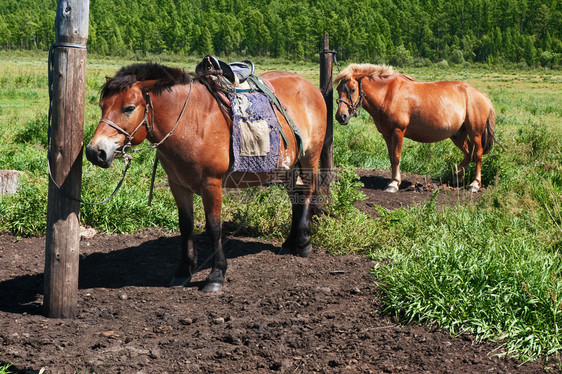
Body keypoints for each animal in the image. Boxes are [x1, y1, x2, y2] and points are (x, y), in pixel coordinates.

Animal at [85, 62, 326, 292]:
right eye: (102, 106)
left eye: (129, 108)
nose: (95, 152)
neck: (191, 122)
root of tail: (310, 87)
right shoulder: (178, 185)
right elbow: (186, 226)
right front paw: (183, 271)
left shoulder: (212, 184)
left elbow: (214, 228)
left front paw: (216, 275)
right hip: (288, 165)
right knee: (295, 197)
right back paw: (289, 243)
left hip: (309, 158)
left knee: (306, 193)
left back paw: (303, 243)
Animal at [332, 64, 494, 191]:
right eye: (339, 89)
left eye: (353, 89)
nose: (341, 116)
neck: (387, 94)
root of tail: (482, 95)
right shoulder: (387, 134)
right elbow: (391, 157)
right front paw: (393, 180)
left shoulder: (398, 131)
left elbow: (396, 157)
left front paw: (394, 184)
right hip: (457, 134)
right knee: (468, 153)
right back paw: (457, 176)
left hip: (475, 133)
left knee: (477, 154)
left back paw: (474, 184)